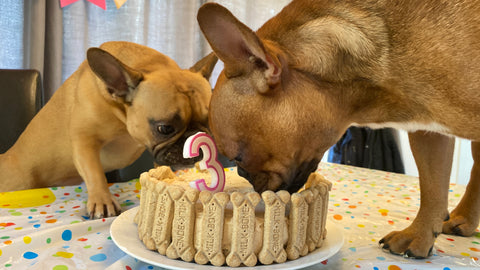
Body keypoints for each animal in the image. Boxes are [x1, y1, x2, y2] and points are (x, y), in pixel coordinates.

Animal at [0, 41, 218, 219]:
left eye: (210, 123)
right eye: (165, 128)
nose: (197, 141)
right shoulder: (84, 140)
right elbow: (94, 172)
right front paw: (102, 201)